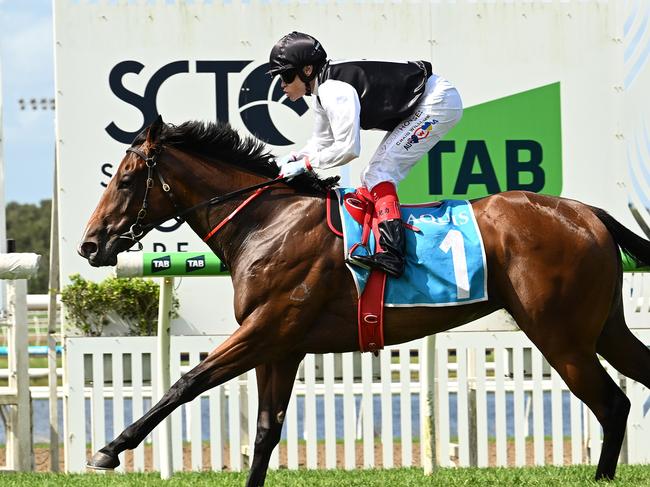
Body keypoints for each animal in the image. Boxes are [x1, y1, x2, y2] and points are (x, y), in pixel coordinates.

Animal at [79, 116, 648, 486]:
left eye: (125, 180)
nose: (89, 244)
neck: (266, 223)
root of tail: (588, 213)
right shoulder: (281, 347)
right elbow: (265, 432)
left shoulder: (266, 328)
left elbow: (187, 382)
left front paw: (109, 449)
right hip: (603, 329)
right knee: (627, 388)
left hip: (560, 336)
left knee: (611, 403)